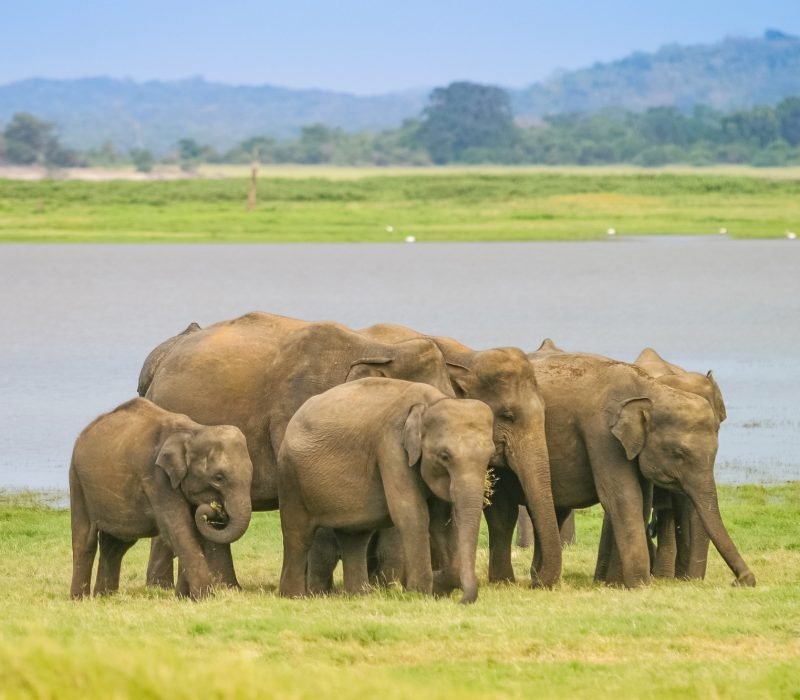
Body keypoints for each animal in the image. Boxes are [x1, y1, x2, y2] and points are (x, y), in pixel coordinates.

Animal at [69, 398, 253, 600]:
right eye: (218, 478)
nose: (215, 509)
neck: (194, 431)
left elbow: (193, 531)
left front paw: (184, 598)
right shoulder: (157, 478)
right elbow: (179, 528)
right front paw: (206, 597)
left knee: (116, 545)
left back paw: (105, 597)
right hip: (77, 481)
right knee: (85, 540)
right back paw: (79, 600)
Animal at [278, 378, 495, 604]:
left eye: (491, 455)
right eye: (444, 456)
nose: (462, 601)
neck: (430, 404)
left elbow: (442, 523)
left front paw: (438, 587)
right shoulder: (391, 447)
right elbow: (411, 513)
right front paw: (418, 593)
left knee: (355, 537)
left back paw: (359, 596)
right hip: (291, 478)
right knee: (298, 535)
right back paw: (293, 596)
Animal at [492, 349, 753, 588]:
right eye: (678, 453)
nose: (741, 581)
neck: (650, 389)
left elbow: (641, 500)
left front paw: (617, 584)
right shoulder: (602, 434)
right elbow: (622, 497)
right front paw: (638, 584)